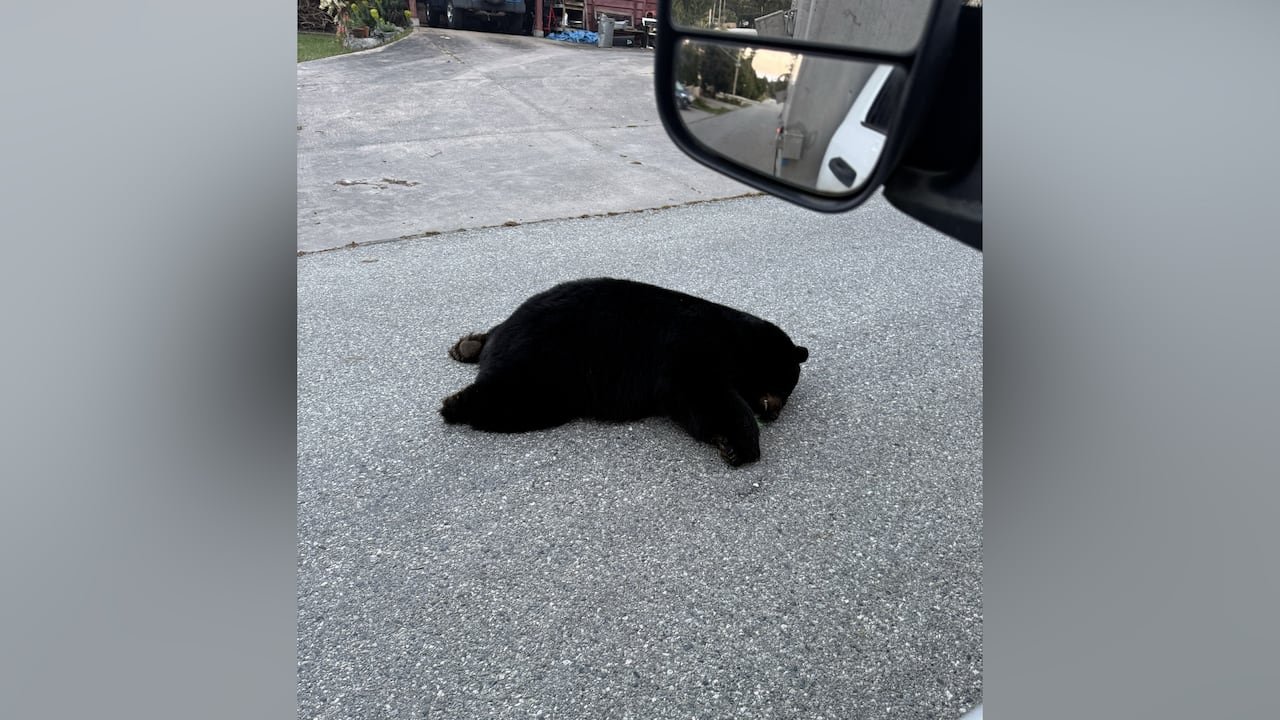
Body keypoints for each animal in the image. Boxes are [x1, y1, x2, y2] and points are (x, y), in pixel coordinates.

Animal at [439, 277, 808, 466]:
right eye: (785, 384)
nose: (773, 413)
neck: (738, 339)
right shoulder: (690, 345)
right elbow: (702, 390)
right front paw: (742, 444)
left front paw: (726, 442)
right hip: (554, 361)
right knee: (521, 395)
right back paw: (457, 402)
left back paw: (468, 345)